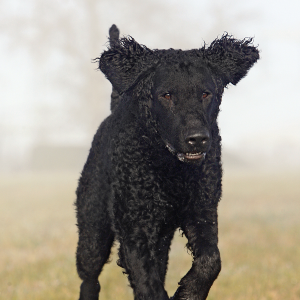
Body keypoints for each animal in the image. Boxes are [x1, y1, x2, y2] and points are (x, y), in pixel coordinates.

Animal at [74, 24, 258, 298]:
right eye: (167, 95)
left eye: (206, 94)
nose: (198, 139)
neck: (173, 171)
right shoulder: (135, 228)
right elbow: (148, 284)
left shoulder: (202, 211)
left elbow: (211, 261)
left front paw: (188, 292)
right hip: (93, 231)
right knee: (89, 279)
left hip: (161, 237)